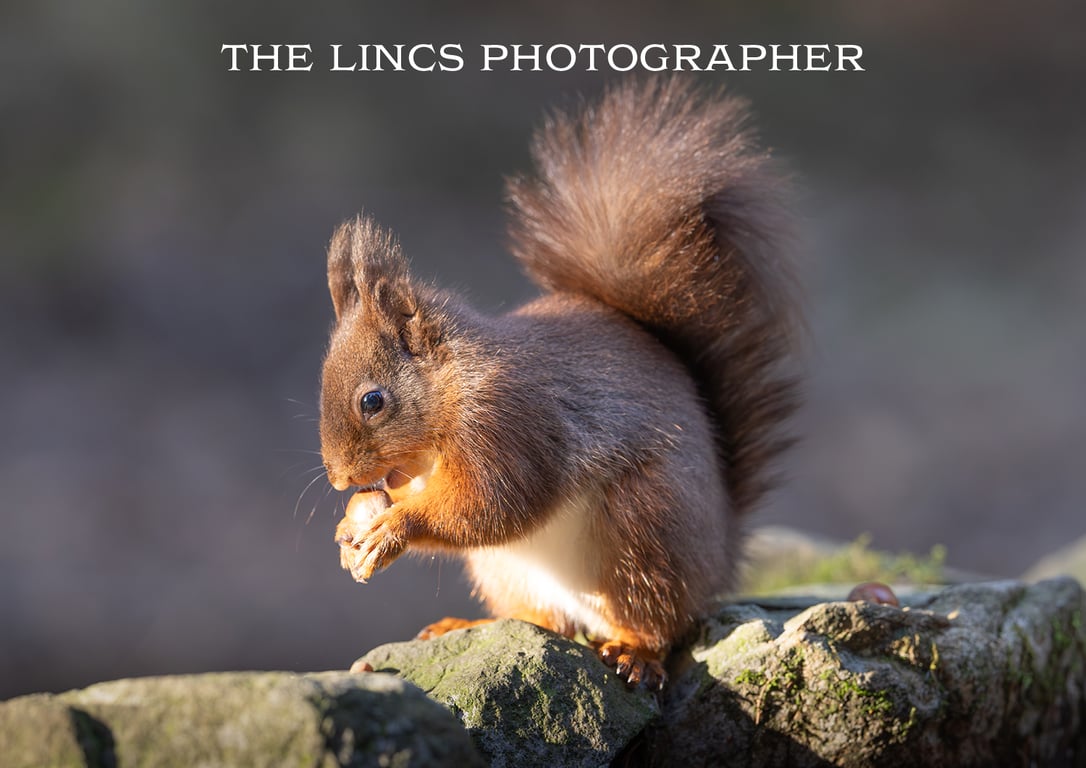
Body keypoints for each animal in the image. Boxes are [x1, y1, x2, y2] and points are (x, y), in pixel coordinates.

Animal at [319, 77, 798, 690]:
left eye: (373, 401)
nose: (338, 478)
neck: (452, 387)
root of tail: (722, 557)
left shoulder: (510, 423)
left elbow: (491, 504)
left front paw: (393, 527)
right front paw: (350, 526)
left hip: (644, 532)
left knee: (661, 623)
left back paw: (635, 653)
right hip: (507, 569)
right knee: (546, 622)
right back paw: (466, 625)